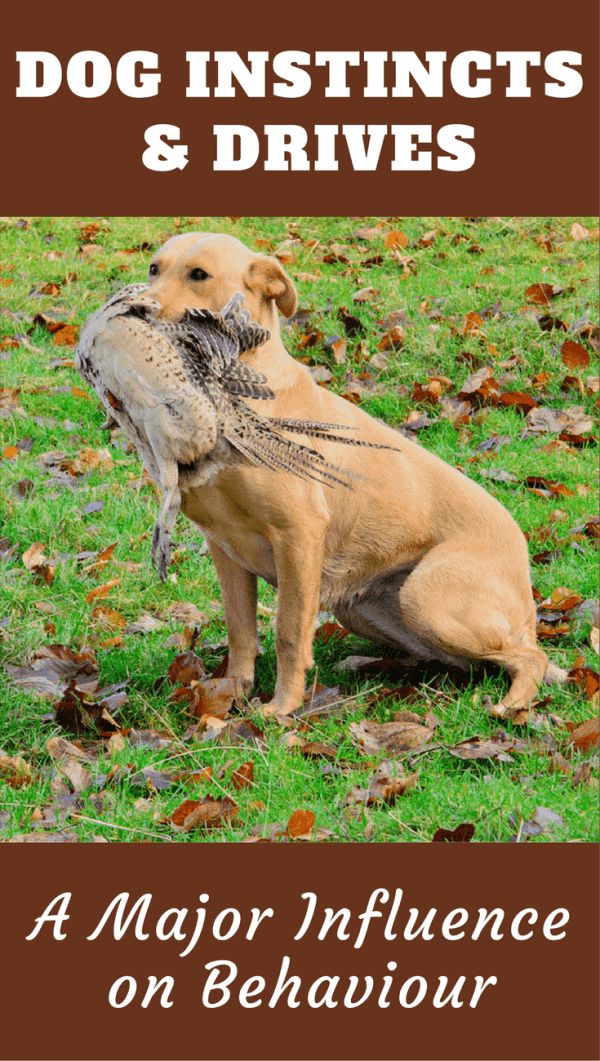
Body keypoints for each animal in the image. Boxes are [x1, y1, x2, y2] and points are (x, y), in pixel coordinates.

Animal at [147, 228, 568, 717]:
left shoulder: (298, 536)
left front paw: (283, 707)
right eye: (154, 269)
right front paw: (229, 696)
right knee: (460, 664)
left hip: (425, 597)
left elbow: (289, 633)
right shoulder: (226, 551)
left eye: (199, 275)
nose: (139, 309)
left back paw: (510, 704)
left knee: (529, 657)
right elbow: (241, 633)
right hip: (367, 610)